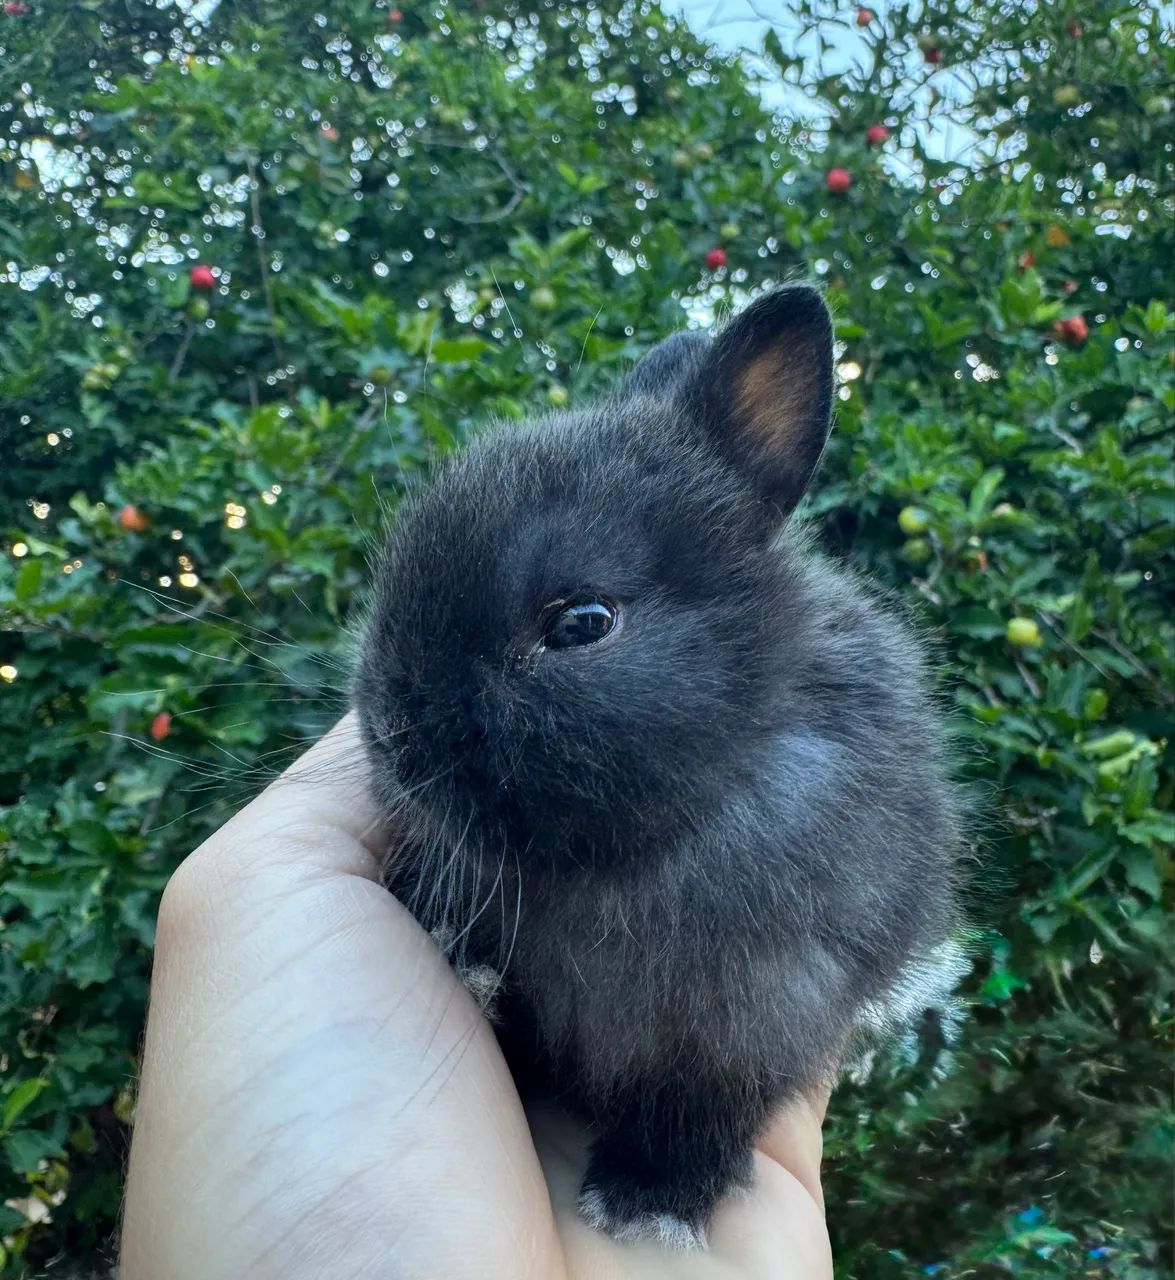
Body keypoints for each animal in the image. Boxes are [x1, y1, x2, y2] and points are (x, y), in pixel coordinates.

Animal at [353, 283, 964, 1249]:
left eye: (582, 623)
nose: (387, 736)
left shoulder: (754, 1023)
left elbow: (695, 1112)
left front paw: (646, 1203)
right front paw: (471, 977)